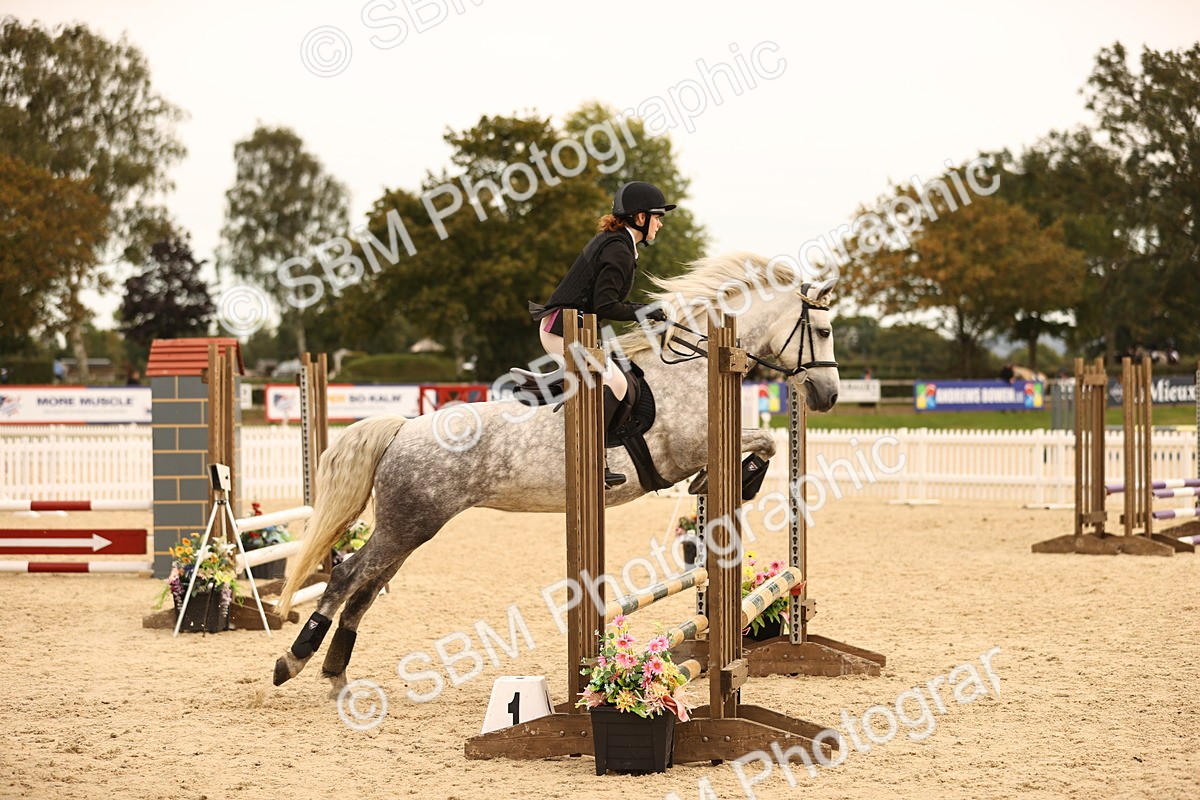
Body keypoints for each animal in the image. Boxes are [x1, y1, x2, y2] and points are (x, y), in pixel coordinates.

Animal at [271, 252, 840, 693]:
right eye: (825, 330)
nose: (829, 397)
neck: (695, 363)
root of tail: (403, 429)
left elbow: (761, 445)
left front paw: (723, 483)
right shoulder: (686, 446)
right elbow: (762, 440)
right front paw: (740, 479)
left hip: (411, 528)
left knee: (364, 588)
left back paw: (335, 675)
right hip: (407, 524)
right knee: (347, 575)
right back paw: (292, 661)